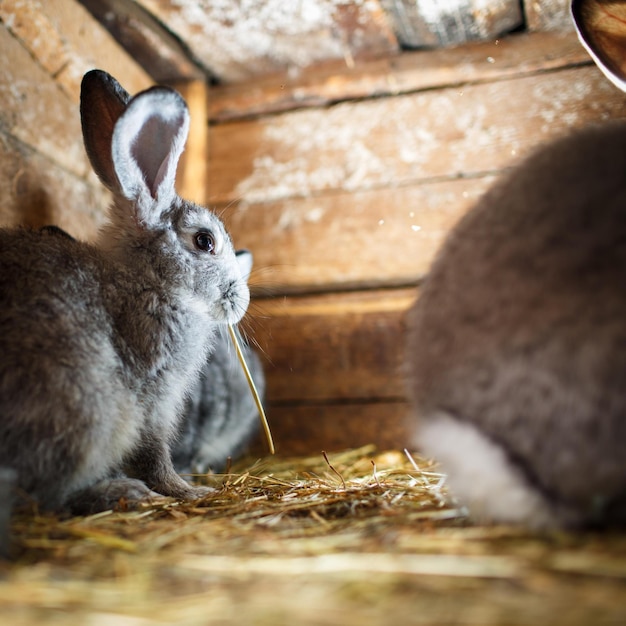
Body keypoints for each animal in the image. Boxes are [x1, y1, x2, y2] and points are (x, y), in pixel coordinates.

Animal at [0, 69, 249, 516]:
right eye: (205, 241)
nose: (241, 301)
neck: (150, 280)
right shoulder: (152, 394)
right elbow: (155, 456)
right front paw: (187, 491)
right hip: (87, 411)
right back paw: (123, 493)